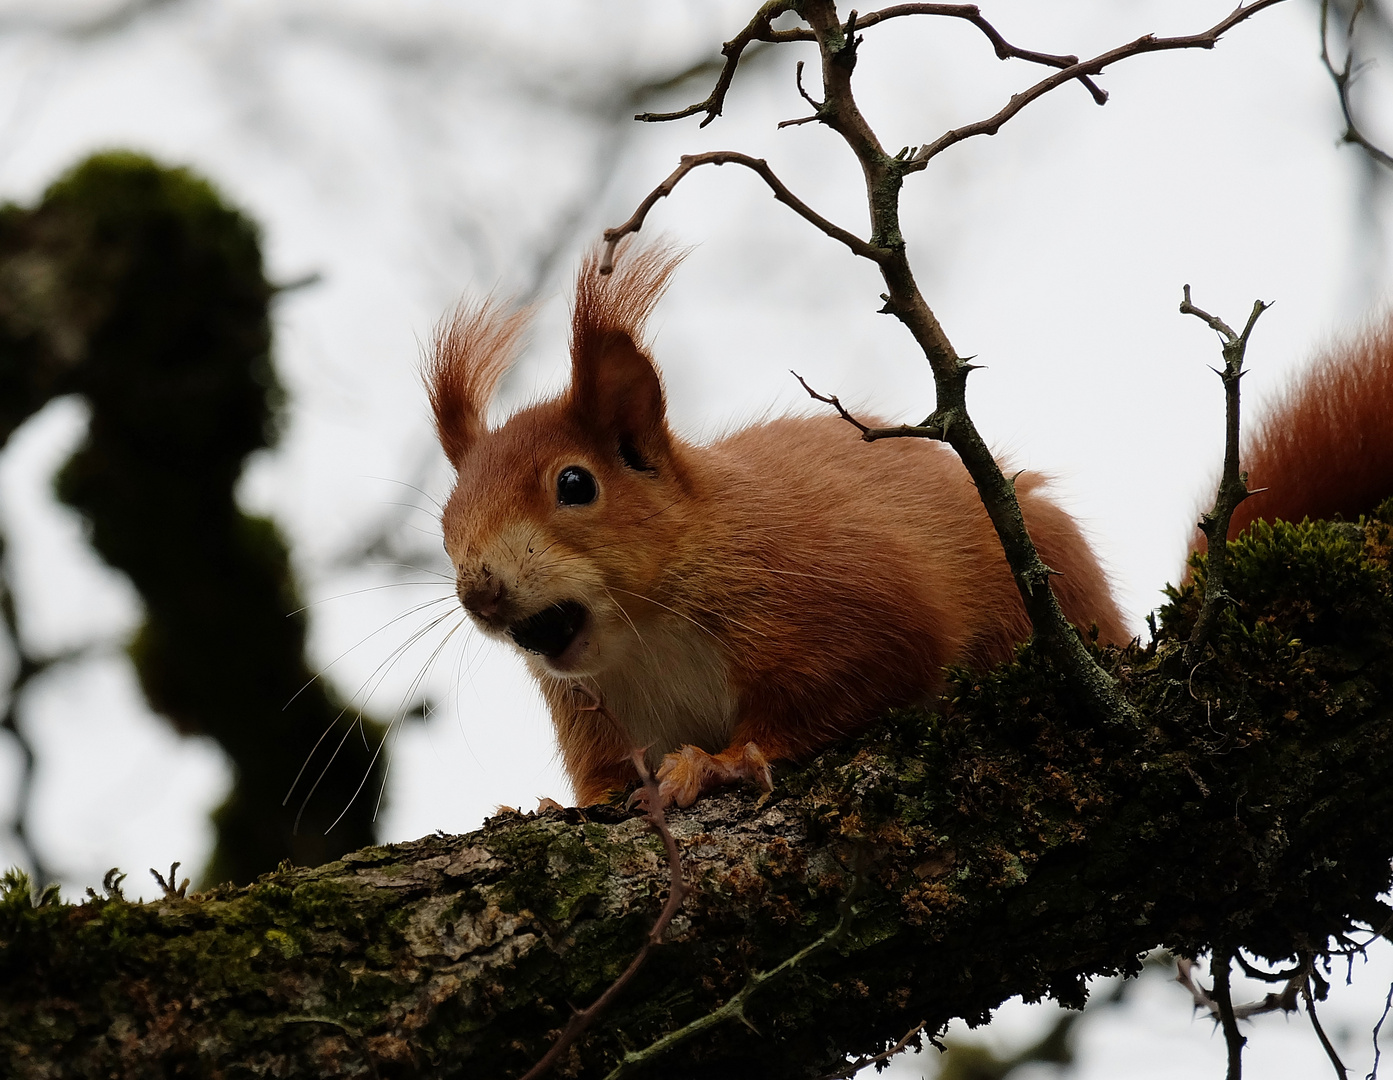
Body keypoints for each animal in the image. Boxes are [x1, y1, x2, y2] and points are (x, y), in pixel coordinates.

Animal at [429, 242, 1387, 802]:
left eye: (574, 484)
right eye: (445, 518)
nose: (478, 593)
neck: (643, 635)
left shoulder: (827, 591)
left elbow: (867, 667)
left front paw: (722, 759)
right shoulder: (594, 714)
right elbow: (600, 788)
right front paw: (559, 804)